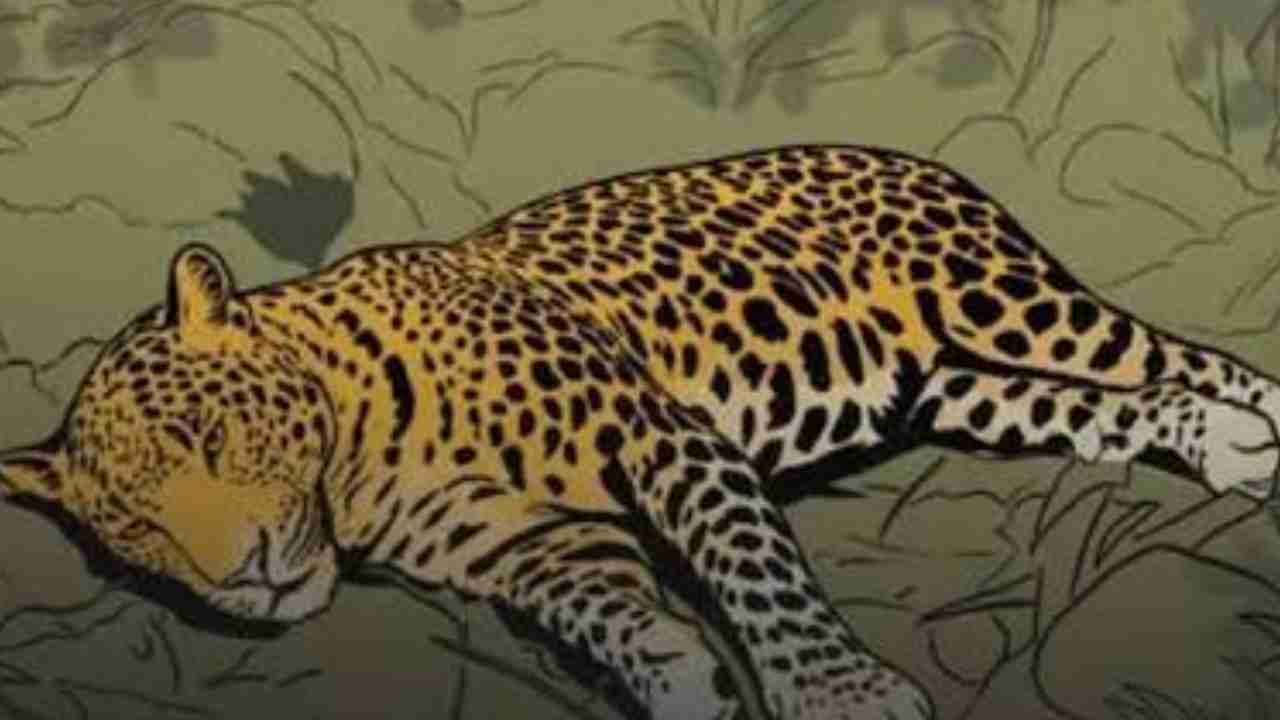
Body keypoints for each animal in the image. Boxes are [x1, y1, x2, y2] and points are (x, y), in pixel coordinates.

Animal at [2, 144, 1278, 720]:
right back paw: (1212, 445)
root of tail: (901, 152)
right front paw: (671, 671)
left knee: (1184, 357)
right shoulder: (533, 543)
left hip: (1004, 300)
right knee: (1104, 408)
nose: (248, 576)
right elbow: (606, 612)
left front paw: (838, 694)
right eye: (133, 530)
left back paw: (1253, 428)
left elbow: (760, 580)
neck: (359, 464)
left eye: (211, 435)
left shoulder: (665, 441)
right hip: (959, 388)